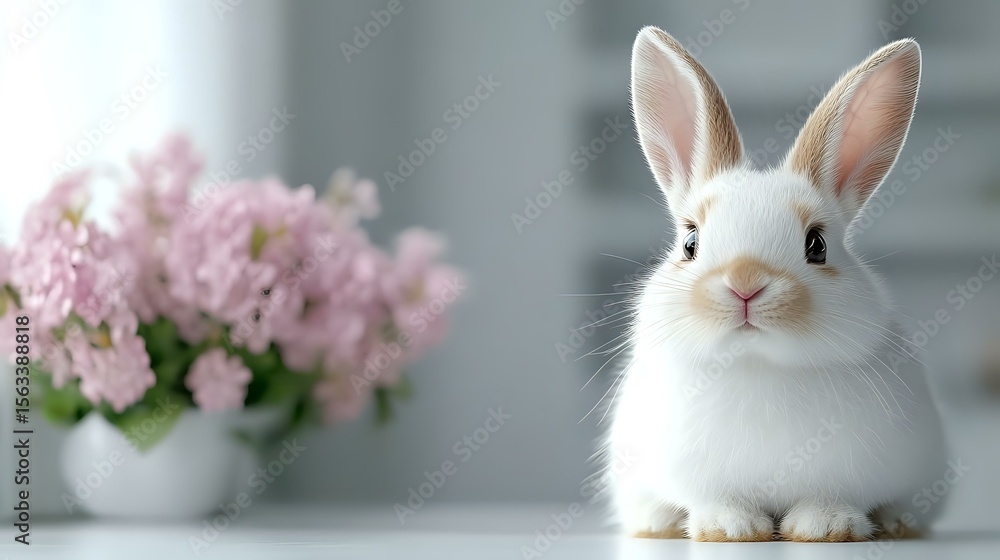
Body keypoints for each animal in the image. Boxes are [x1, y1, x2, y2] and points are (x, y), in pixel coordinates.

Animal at [601, 27, 948, 542]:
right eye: (690, 242)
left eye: (817, 245)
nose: (745, 285)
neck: (756, 362)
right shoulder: (696, 475)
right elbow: (717, 499)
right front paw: (732, 529)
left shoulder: (848, 474)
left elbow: (831, 498)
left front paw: (826, 528)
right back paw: (655, 522)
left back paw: (897, 523)